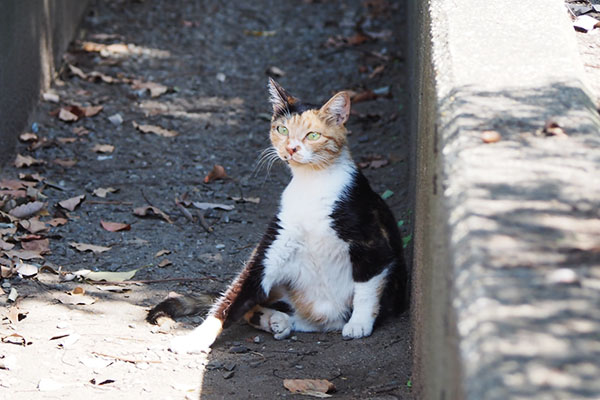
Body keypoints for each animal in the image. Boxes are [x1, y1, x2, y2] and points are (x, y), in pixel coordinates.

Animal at [147, 78, 410, 354]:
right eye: (282, 129)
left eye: (312, 135)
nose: (291, 148)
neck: (310, 184)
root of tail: (324, 318)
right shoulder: (275, 243)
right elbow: (233, 297)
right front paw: (195, 337)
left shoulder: (373, 243)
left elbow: (367, 286)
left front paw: (359, 323)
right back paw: (274, 319)